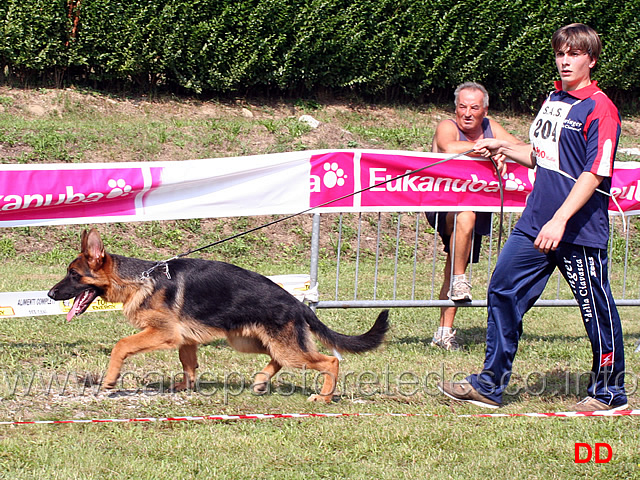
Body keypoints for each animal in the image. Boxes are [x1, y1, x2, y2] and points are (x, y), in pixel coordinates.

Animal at [47, 229, 388, 402]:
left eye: (73, 274)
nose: (49, 295)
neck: (139, 279)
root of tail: (297, 302)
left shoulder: (163, 335)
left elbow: (121, 345)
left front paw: (109, 381)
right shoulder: (185, 340)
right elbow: (188, 364)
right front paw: (185, 387)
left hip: (284, 347)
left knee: (330, 361)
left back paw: (324, 397)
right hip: (250, 341)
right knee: (277, 359)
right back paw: (261, 381)